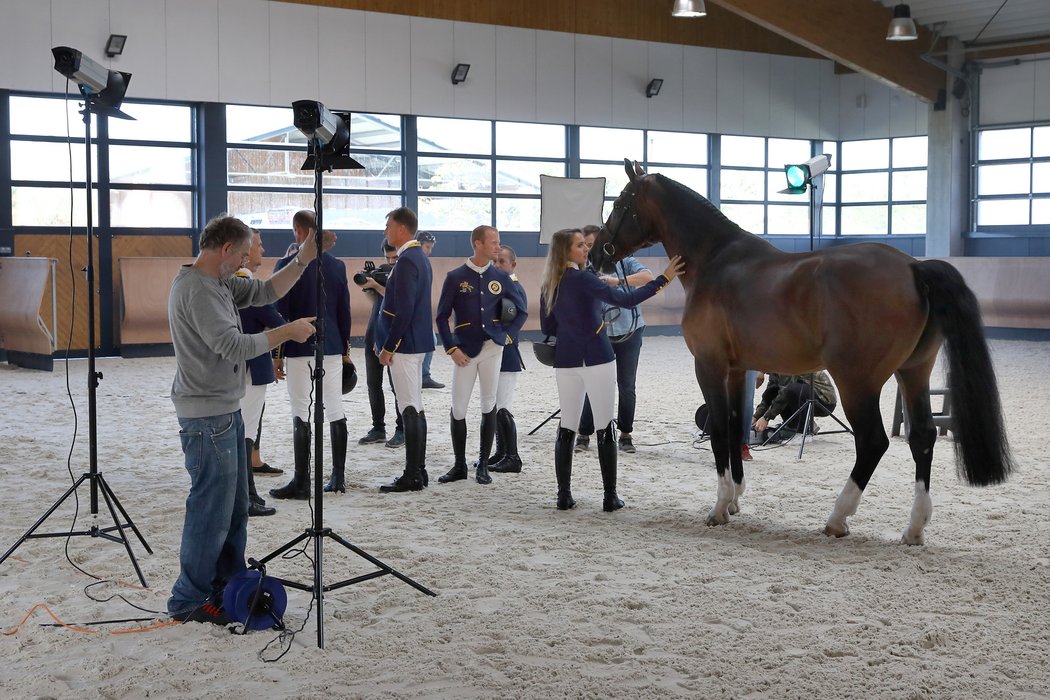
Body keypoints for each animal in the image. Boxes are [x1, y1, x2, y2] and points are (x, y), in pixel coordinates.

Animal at [596, 160, 1012, 545]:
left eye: (619, 204)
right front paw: (735, 499)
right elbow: (735, 424)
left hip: (857, 381)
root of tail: (913, 267)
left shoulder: (709, 366)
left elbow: (718, 430)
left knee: (873, 442)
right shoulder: (737, 370)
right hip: (914, 372)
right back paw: (914, 529)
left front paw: (719, 507)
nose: (600, 252)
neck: (715, 260)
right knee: (922, 436)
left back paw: (837, 519)